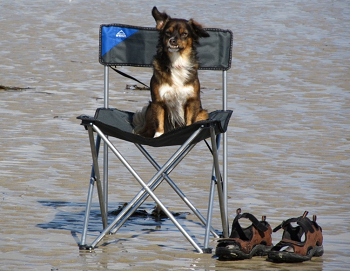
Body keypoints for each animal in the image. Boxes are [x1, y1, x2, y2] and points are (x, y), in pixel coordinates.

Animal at [133, 6, 211, 138]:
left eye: (184, 34)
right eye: (167, 33)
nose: (172, 40)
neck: (177, 62)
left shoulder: (192, 101)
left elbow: (190, 122)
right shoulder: (158, 102)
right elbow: (159, 123)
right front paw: (157, 136)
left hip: (203, 113)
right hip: (149, 111)